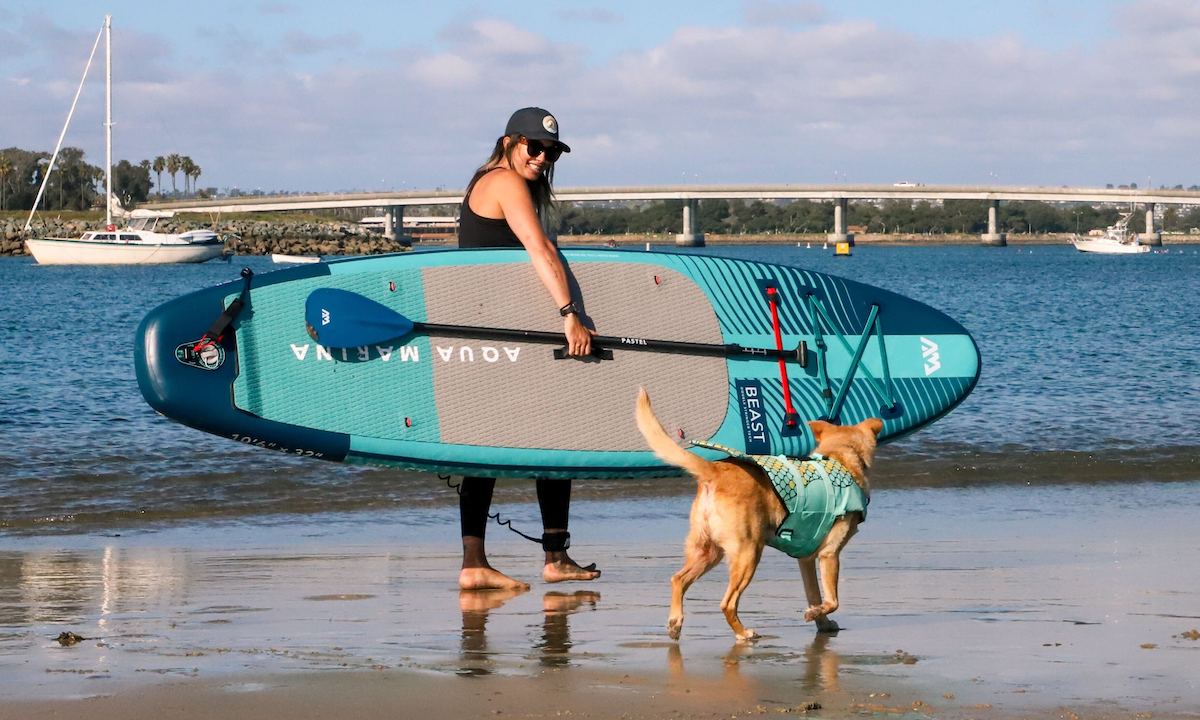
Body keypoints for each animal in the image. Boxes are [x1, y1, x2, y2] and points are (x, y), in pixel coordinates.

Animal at [638, 388, 883, 643]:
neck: (840, 457)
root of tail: (715, 470)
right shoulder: (829, 554)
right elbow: (833, 600)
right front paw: (814, 614)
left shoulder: (805, 560)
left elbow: (814, 594)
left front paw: (821, 621)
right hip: (749, 552)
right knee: (727, 603)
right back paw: (743, 633)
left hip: (708, 551)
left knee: (678, 579)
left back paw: (675, 622)